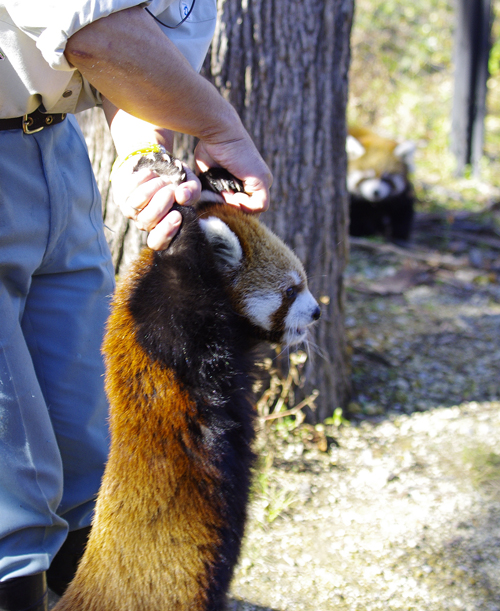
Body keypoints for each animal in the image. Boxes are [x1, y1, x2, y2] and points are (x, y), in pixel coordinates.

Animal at [53, 153, 320, 611]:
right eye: (291, 290)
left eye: (301, 282)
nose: (317, 311)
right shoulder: (160, 329)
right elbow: (175, 275)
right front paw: (176, 209)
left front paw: (217, 180)